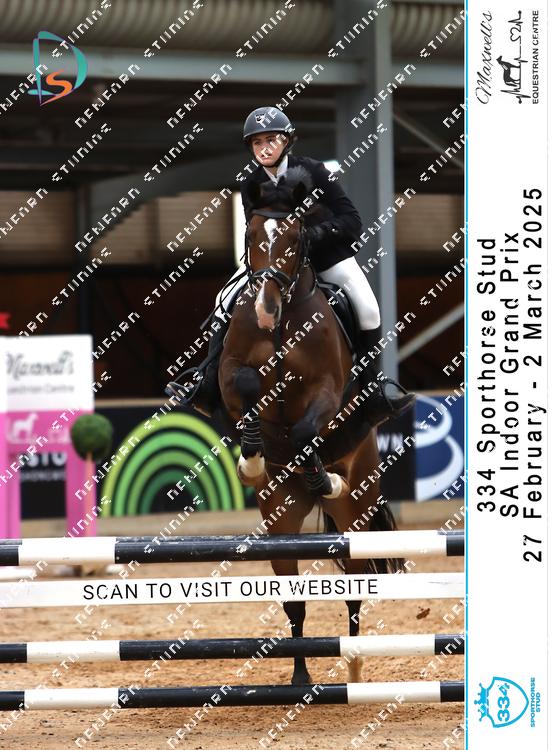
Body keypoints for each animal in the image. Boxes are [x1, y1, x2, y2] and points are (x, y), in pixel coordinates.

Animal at [216, 166, 403, 684]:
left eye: (297, 236)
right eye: (249, 235)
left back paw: (354, 667)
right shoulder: (231, 374)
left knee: (356, 586)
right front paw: (252, 459)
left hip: (357, 508)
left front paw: (321, 473)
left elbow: (305, 430)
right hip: (281, 522)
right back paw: (301, 677)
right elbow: (246, 394)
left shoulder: (326, 390)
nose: (265, 311)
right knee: (294, 600)